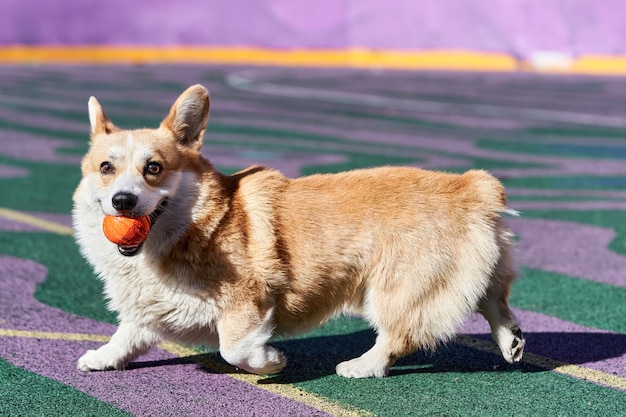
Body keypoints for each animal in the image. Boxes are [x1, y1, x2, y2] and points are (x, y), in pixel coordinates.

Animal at [72, 84, 520, 376]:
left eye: (154, 168)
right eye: (106, 168)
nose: (123, 202)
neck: (189, 227)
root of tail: (471, 187)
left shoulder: (246, 302)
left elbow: (233, 349)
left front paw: (271, 362)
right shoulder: (148, 309)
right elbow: (128, 335)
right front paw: (102, 358)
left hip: (395, 288)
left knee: (398, 335)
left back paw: (361, 366)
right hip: (476, 269)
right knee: (492, 299)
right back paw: (511, 340)